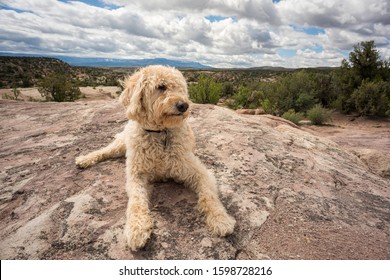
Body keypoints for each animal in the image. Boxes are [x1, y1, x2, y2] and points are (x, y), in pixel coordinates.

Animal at [76, 65, 235, 252]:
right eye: (161, 87)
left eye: (180, 88)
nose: (184, 105)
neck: (160, 133)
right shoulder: (136, 175)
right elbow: (136, 200)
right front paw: (136, 228)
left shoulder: (198, 171)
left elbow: (209, 196)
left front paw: (220, 219)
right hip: (122, 143)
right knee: (106, 150)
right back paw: (85, 159)